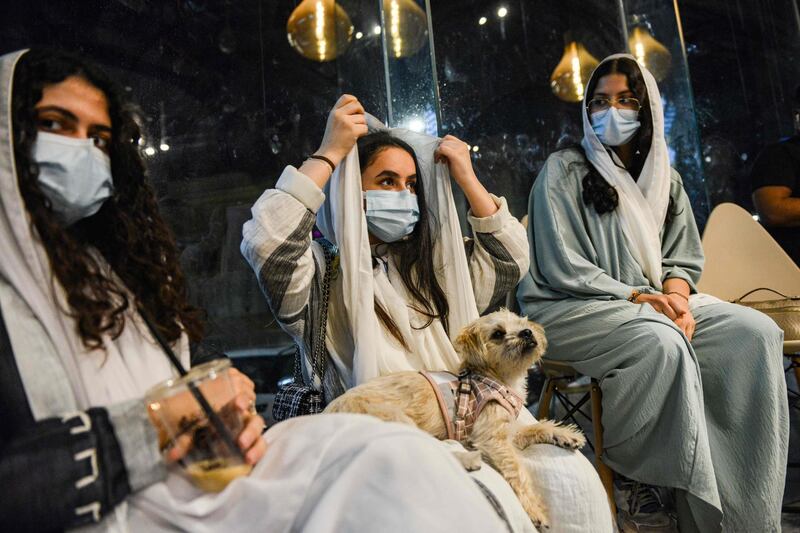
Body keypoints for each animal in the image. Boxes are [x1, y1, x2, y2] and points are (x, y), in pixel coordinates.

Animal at [324, 308, 588, 528]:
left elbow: (538, 427)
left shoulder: (508, 432)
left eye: (522, 322)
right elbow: (517, 470)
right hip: (395, 418)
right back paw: (468, 459)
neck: (497, 379)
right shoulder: (493, 438)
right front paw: (535, 510)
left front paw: (565, 434)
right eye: (498, 334)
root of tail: (329, 413)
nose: (527, 331)